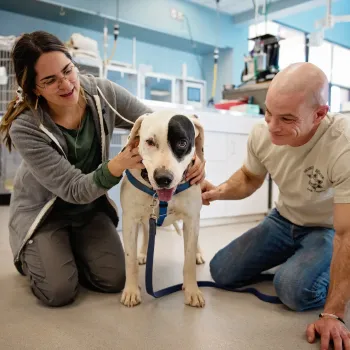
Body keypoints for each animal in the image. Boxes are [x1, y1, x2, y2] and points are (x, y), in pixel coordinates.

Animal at [120, 110, 206, 308]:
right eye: (150, 142)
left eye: (182, 143)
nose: (163, 178)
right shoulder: (130, 220)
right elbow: (129, 259)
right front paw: (131, 290)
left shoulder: (191, 219)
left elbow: (188, 260)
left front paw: (192, 290)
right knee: (146, 231)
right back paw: (143, 253)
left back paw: (198, 254)